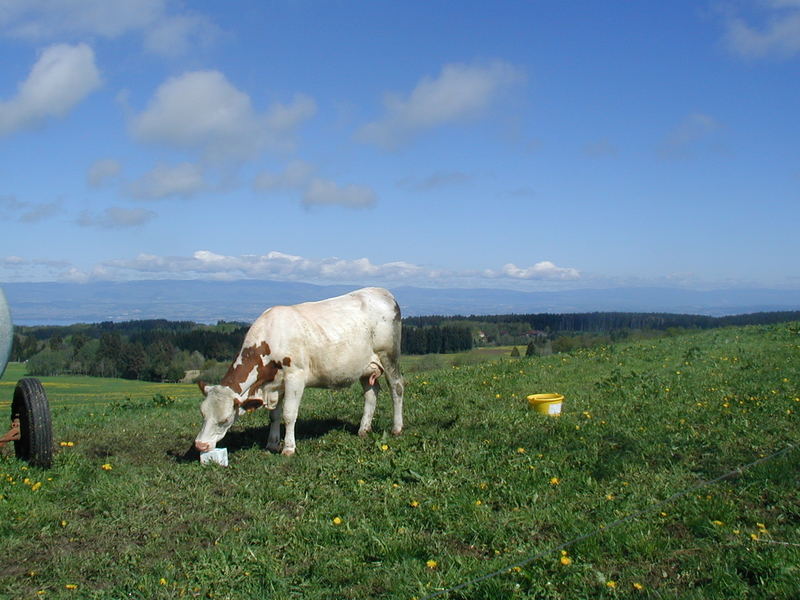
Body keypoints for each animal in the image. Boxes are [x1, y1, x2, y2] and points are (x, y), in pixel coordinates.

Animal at [195, 288, 406, 458]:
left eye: (225, 420)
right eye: (203, 414)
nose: (200, 445)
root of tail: (382, 292)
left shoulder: (294, 376)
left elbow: (289, 414)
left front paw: (288, 448)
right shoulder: (276, 384)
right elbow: (274, 416)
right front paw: (272, 444)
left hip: (389, 356)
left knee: (397, 388)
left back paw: (396, 428)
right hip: (365, 367)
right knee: (371, 393)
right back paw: (363, 429)